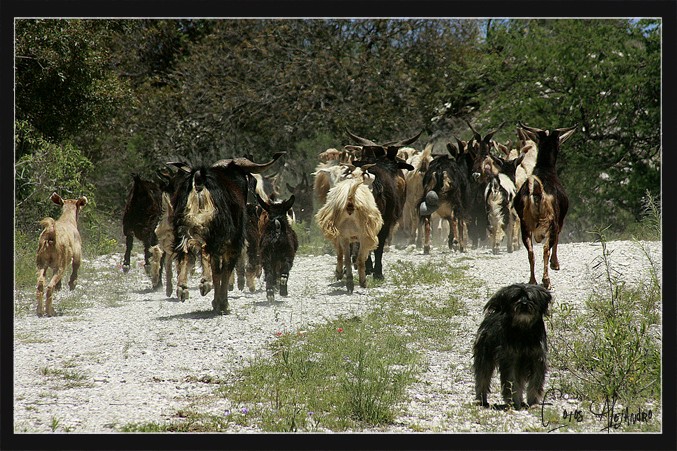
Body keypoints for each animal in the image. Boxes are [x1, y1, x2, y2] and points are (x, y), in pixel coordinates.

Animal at [172, 153, 286, 314]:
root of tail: (199, 180)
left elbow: (217, 269)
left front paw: (216, 302)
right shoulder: (234, 242)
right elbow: (225, 269)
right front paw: (222, 303)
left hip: (184, 227)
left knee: (186, 251)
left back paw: (183, 288)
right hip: (214, 229)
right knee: (205, 249)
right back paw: (205, 283)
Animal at [472, 284, 552, 412]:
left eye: (530, 298)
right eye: (515, 298)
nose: (523, 303)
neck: (523, 330)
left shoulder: (537, 360)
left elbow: (535, 382)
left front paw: (533, 403)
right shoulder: (510, 361)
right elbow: (512, 383)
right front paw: (514, 402)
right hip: (485, 358)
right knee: (482, 378)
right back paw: (481, 400)